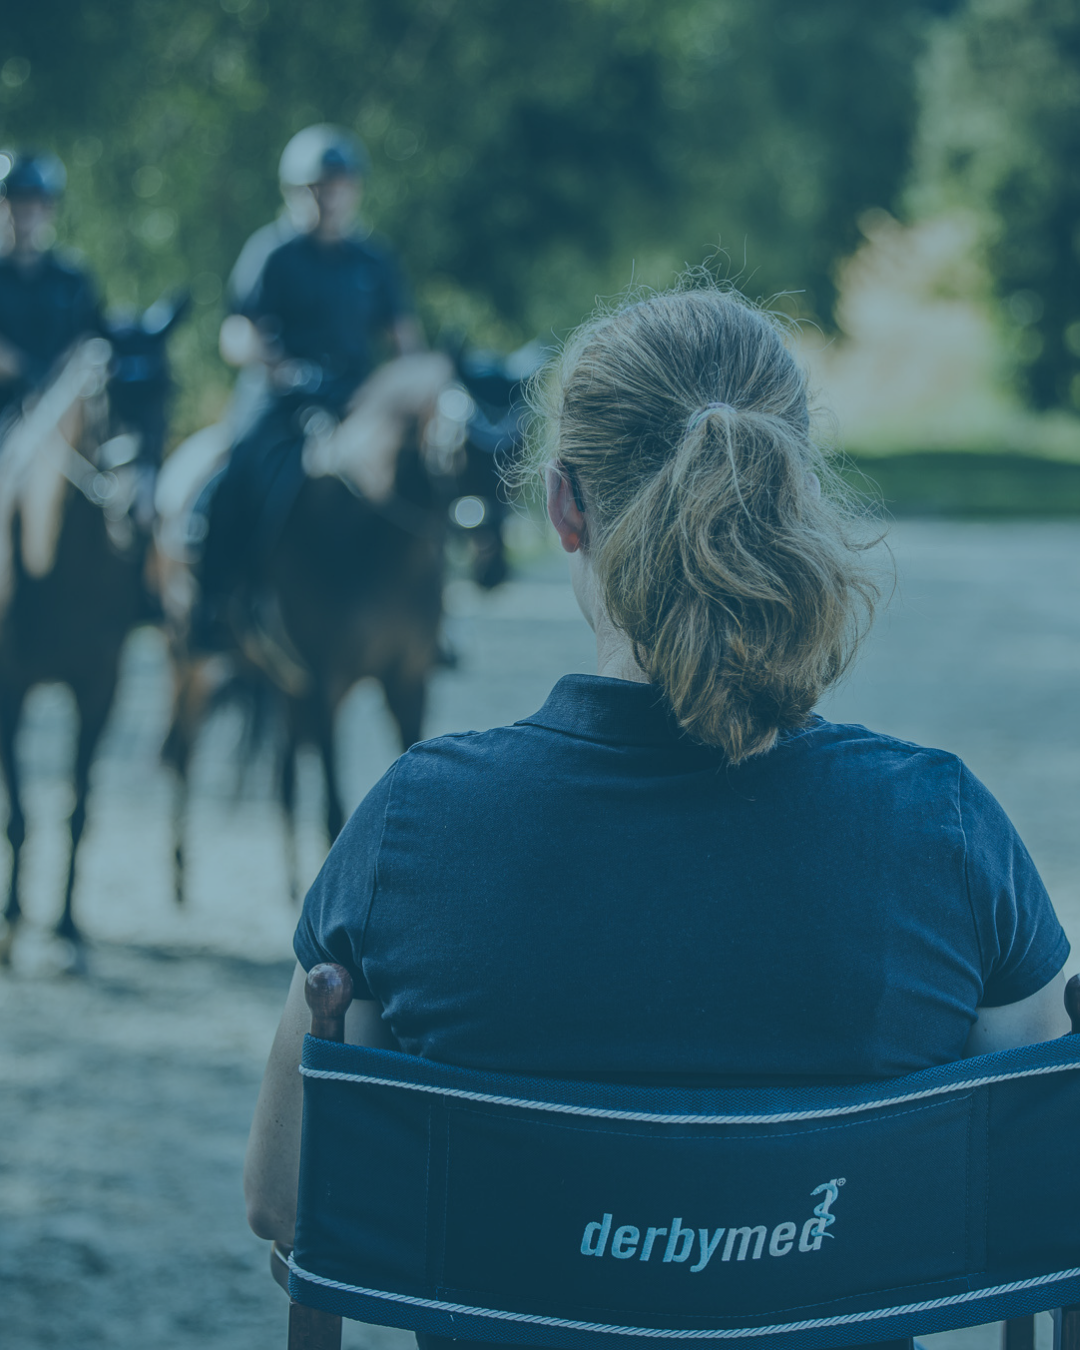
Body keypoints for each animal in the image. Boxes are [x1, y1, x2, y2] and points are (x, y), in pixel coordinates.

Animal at [0, 298, 187, 966]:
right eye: (107, 393)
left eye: (170, 389)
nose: (140, 509)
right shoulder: (11, 687)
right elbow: (20, 811)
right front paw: (13, 921)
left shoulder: (100, 684)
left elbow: (78, 806)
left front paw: (65, 928)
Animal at [159, 351, 461, 901]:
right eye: (466, 437)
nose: (493, 560)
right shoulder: (326, 682)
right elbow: (334, 806)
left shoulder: (408, 680)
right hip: (192, 659)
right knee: (179, 751)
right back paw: (178, 873)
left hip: (277, 679)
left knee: (280, 779)